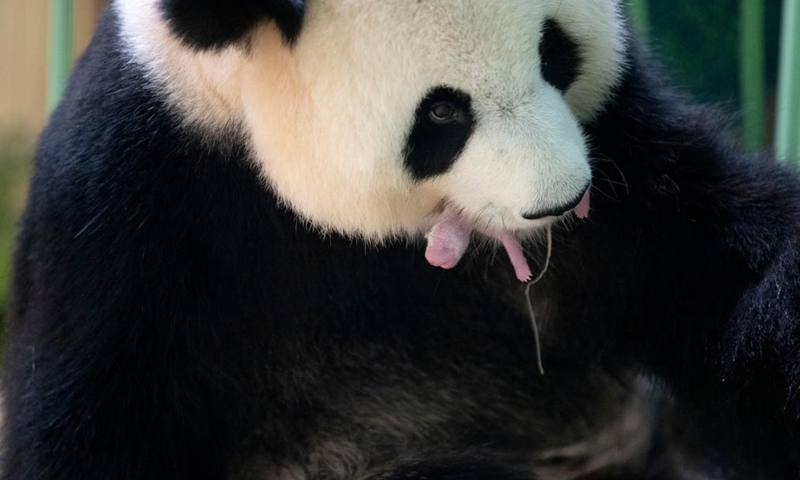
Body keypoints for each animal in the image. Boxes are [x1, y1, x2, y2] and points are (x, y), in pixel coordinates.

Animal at [3, 0, 800, 478]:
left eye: (555, 51)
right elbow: (93, 421)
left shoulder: (625, 155)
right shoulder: (133, 210)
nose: (561, 199)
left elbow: (707, 274)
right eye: (443, 111)